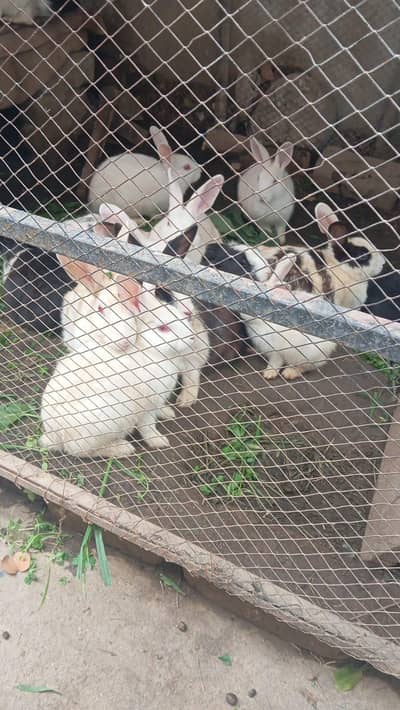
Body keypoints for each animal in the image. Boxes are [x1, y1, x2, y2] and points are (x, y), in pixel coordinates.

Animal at [40, 277, 195, 458]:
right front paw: (159, 441)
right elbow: (147, 427)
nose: (192, 337)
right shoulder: (147, 406)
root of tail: (54, 436)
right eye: (163, 328)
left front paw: (167, 413)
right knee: (80, 450)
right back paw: (122, 448)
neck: (148, 349)